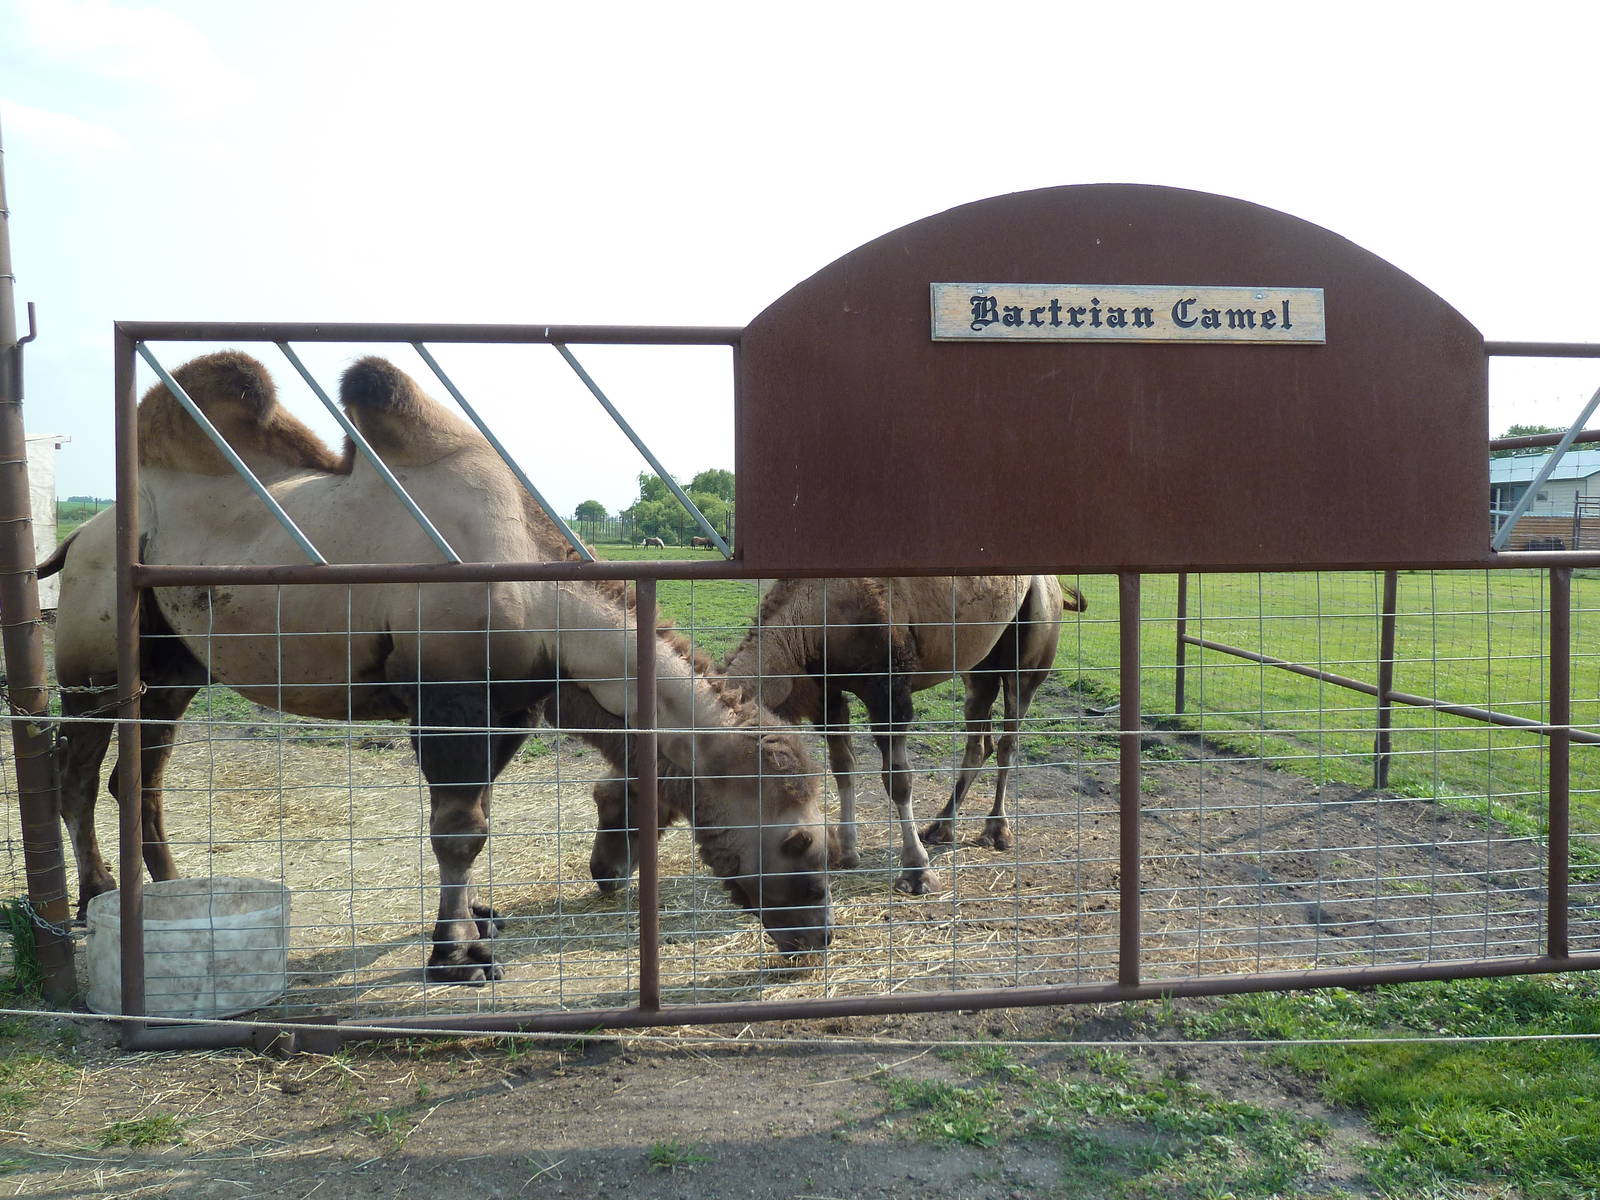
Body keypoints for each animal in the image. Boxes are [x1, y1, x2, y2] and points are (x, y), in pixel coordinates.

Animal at [46, 352, 833, 982]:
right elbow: (459, 831)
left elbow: (475, 820)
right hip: (93, 662)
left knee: (139, 779)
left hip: (173, 670)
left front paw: (475, 922)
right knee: (79, 773)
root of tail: (78, 537)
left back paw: (169, 889)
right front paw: (456, 956)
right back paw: (92, 899)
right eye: (796, 839)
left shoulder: (511, 703)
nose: (817, 935)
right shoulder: (449, 698)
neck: (542, 598)